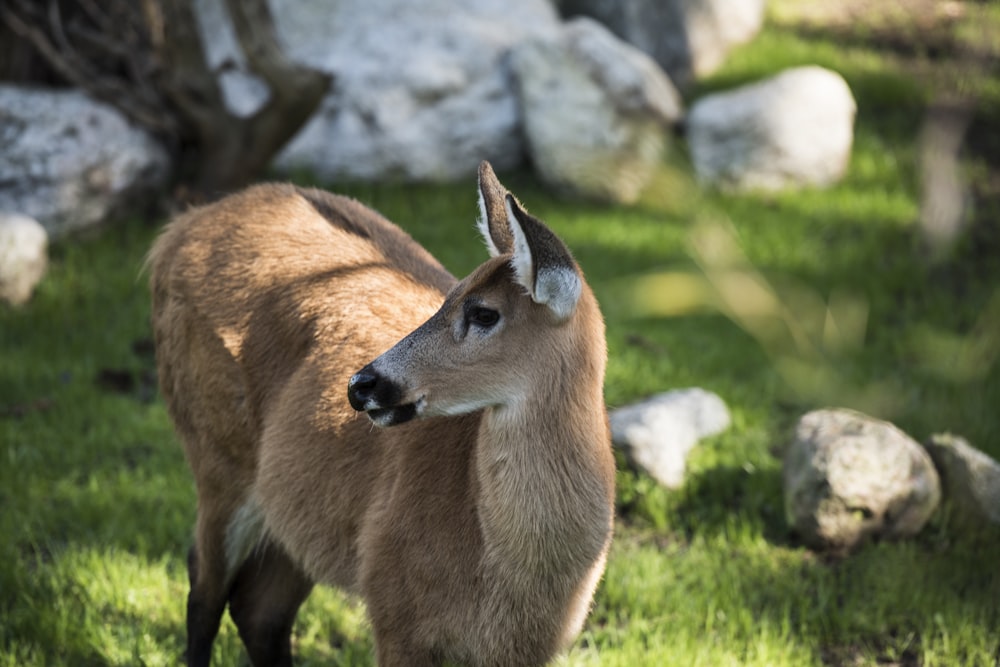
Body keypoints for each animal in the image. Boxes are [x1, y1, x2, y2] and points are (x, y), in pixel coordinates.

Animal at [148, 163, 616, 667]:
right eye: (448, 295)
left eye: (483, 313)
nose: (360, 385)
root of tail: (176, 233)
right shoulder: (393, 608)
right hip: (217, 455)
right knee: (204, 588)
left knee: (259, 610)